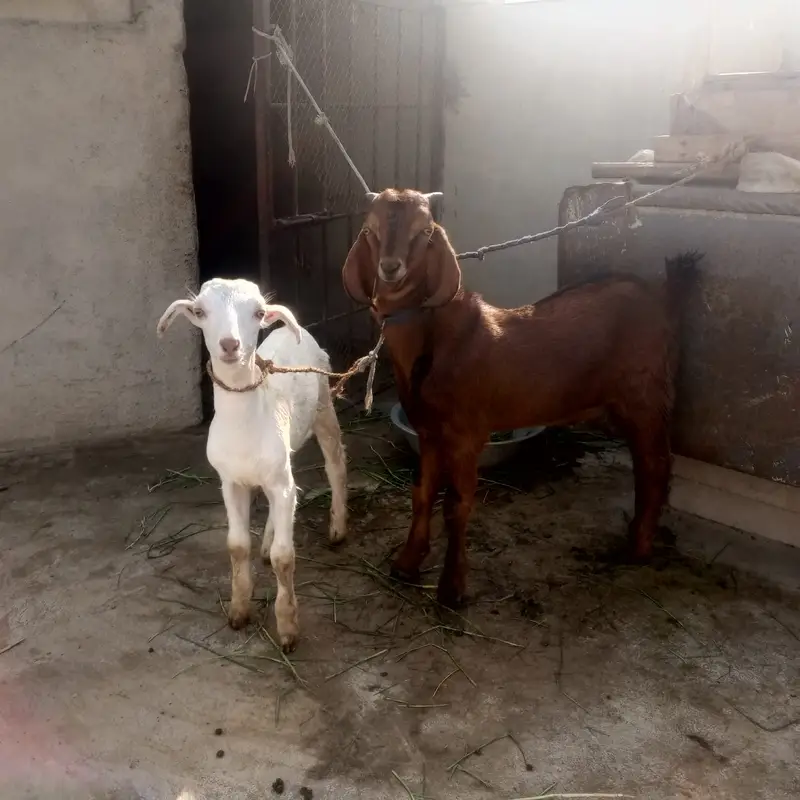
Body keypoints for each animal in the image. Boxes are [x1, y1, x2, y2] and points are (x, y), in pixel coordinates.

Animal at [157, 278, 348, 651]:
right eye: (199, 311)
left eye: (259, 313)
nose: (230, 345)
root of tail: (292, 330)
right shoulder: (231, 482)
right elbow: (237, 546)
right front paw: (239, 610)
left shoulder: (279, 481)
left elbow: (285, 558)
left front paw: (287, 628)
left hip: (323, 404)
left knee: (336, 463)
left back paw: (338, 527)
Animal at [342, 188, 698, 608]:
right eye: (370, 230)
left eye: (425, 231)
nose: (391, 268)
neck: (437, 339)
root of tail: (662, 298)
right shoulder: (428, 431)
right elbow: (422, 493)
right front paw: (407, 563)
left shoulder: (467, 434)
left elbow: (456, 505)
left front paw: (451, 589)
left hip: (644, 393)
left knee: (656, 464)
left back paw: (638, 548)